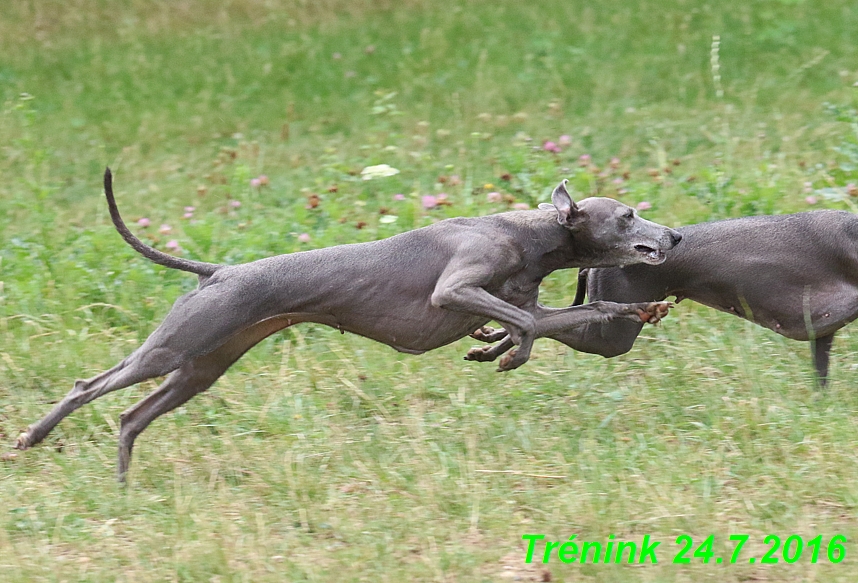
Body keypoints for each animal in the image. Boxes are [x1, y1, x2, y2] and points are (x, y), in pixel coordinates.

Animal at [13, 169, 680, 480]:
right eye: (627, 214)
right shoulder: (455, 288)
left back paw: (124, 482)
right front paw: (505, 350)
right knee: (89, 386)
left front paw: (634, 311)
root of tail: (217, 272)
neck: (532, 232)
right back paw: (33, 437)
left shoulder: (532, 303)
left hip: (202, 367)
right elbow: (523, 324)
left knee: (131, 416)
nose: (673, 235)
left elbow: (564, 315)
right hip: (174, 348)